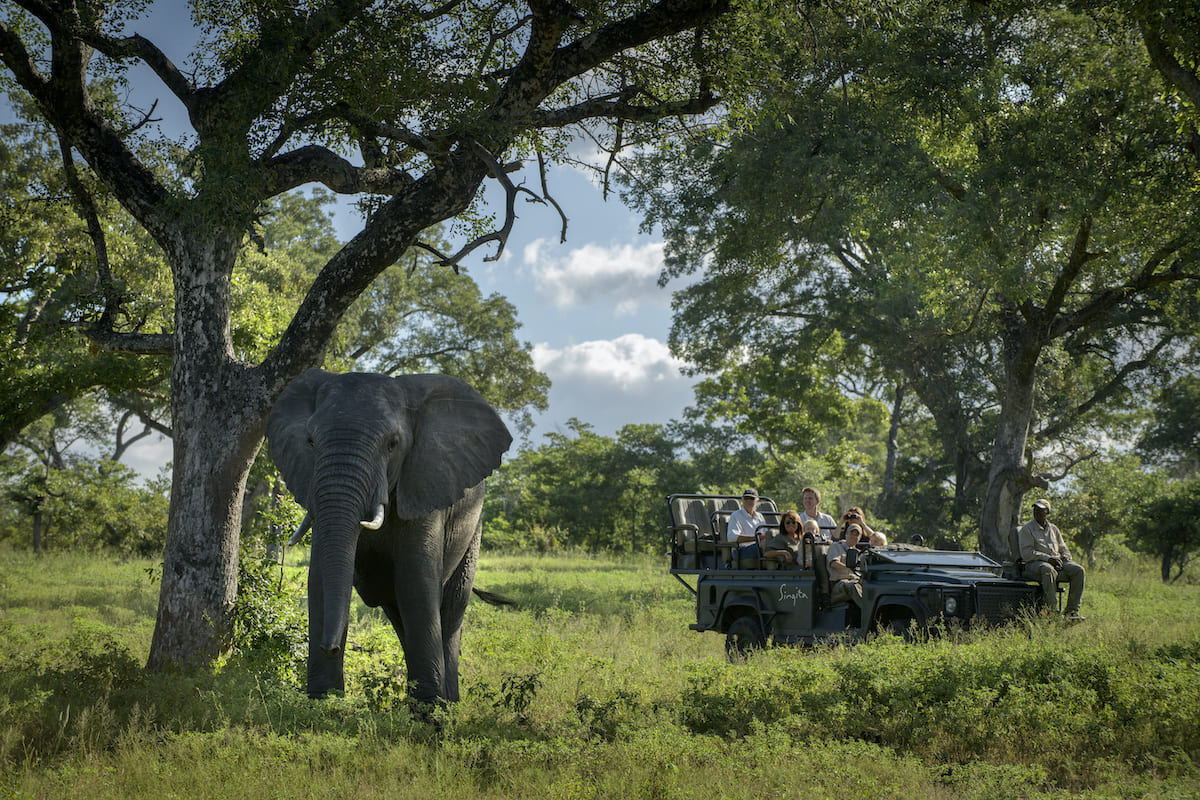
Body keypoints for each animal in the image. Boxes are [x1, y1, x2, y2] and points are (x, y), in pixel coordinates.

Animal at [266, 368, 512, 704]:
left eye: (392, 444)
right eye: (310, 441)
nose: (330, 646)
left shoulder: (423, 484)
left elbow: (416, 583)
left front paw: (430, 711)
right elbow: (319, 578)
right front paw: (322, 703)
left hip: (473, 527)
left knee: (450, 609)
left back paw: (449, 702)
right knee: (398, 614)